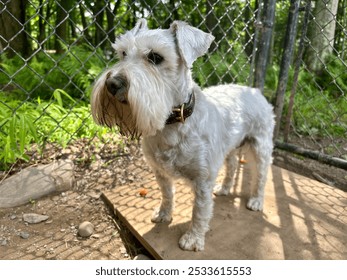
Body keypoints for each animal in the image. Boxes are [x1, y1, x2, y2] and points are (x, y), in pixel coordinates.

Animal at [91, 19, 276, 252]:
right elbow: (167, 194)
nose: (112, 83)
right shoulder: (160, 171)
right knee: (233, 165)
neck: (173, 124)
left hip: (261, 147)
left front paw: (193, 238)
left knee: (261, 175)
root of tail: (255, 90)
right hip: (230, 148)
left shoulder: (203, 178)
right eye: (122, 53)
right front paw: (163, 214)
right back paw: (224, 188)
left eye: (155, 57)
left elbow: (200, 210)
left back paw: (256, 201)